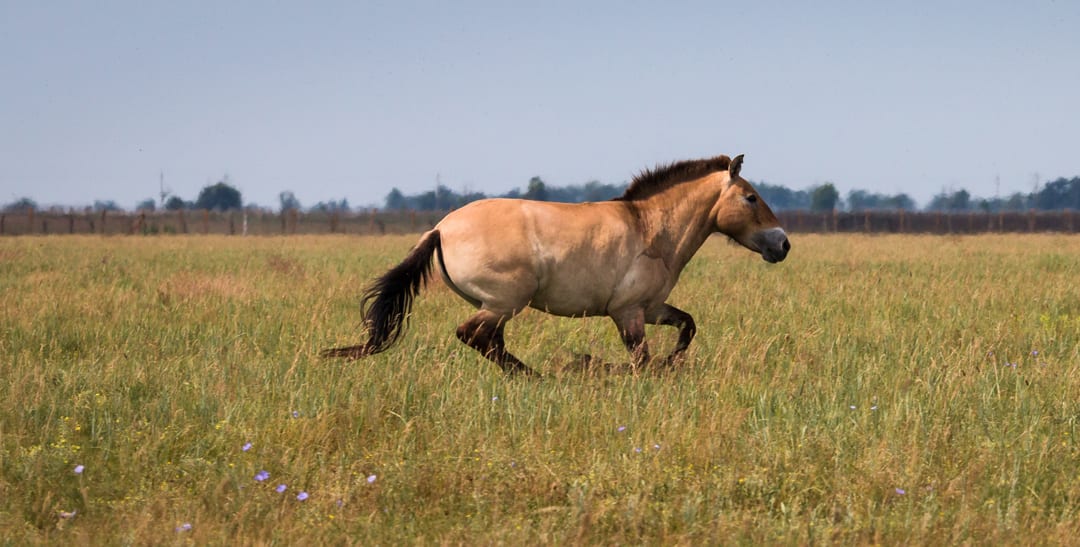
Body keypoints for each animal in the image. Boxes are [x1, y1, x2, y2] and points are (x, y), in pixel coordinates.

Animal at [324, 153, 790, 376]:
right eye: (751, 197)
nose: (782, 244)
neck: (652, 229)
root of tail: (440, 228)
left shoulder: (652, 308)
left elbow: (687, 327)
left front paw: (668, 364)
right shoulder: (627, 312)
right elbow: (639, 359)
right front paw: (599, 366)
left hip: (498, 306)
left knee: (489, 342)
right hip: (505, 301)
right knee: (474, 336)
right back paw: (538, 377)